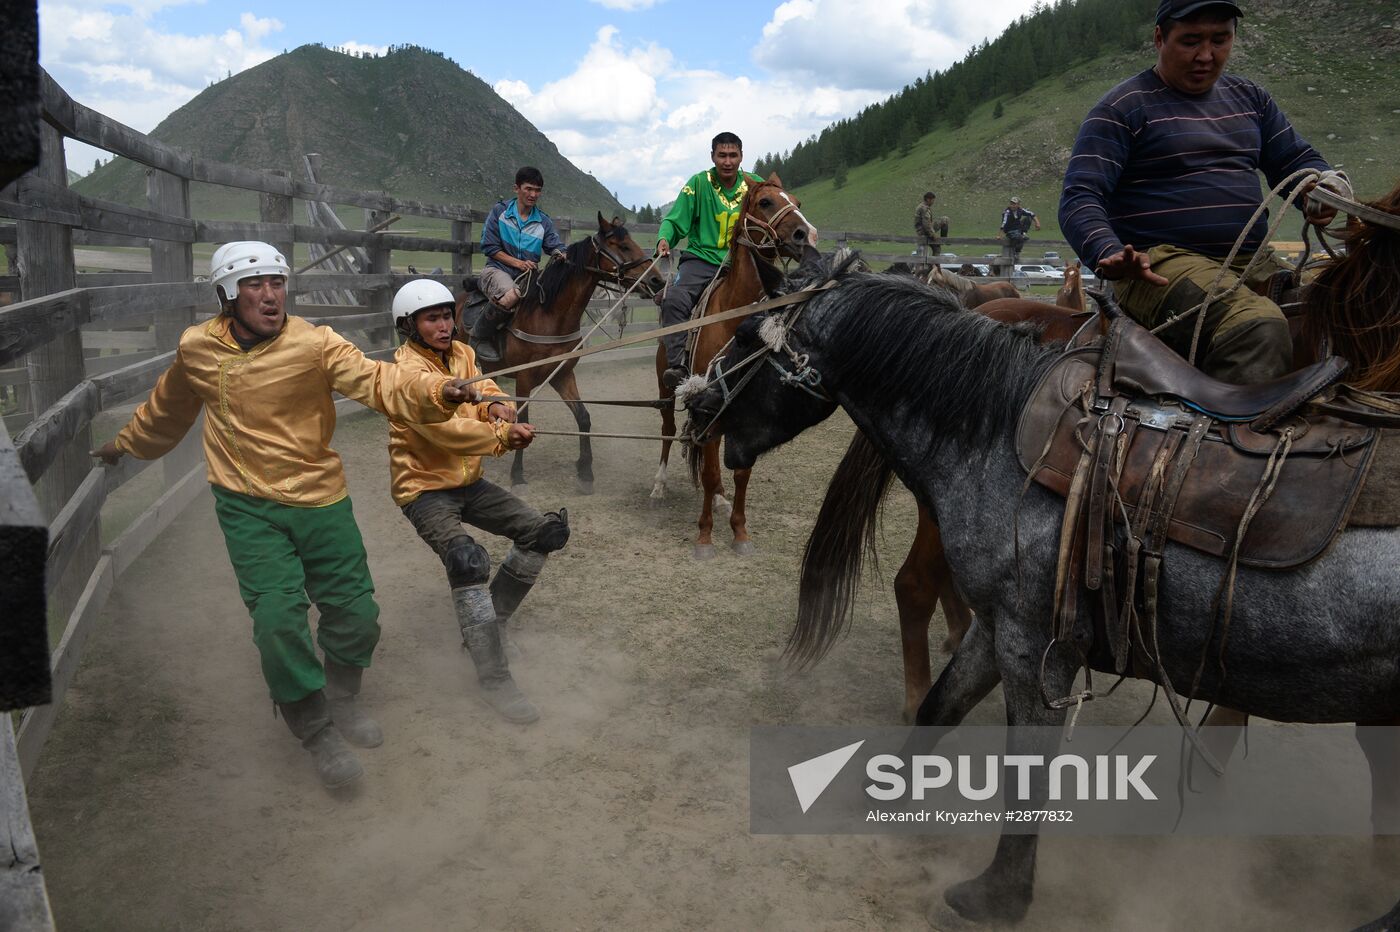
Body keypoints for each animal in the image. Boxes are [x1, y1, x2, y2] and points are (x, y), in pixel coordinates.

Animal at [453, 212, 660, 492]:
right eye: (623, 245)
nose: (657, 280)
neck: (549, 315)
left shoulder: (562, 375)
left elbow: (583, 417)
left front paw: (585, 471)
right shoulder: (525, 378)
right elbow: (523, 417)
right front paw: (517, 474)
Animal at [652, 172, 817, 559]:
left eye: (797, 202)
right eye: (765, 202)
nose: (806, 235)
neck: (733, 317)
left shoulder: (742, 410)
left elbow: (740, 472)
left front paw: (739, 530)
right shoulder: (710, 408)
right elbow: (711, 472)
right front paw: (705, 536)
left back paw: (720, 500)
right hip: (665, 389)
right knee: (668, 430)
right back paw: (660, 485)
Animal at [677, 251, 1400, 923]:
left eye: (746, 336)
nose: (696, 401)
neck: (997, 429)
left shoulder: (1037, 647)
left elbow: (1026, 773)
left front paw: (997, 896)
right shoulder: (999, 627)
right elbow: (939, 708)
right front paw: (882, 800)